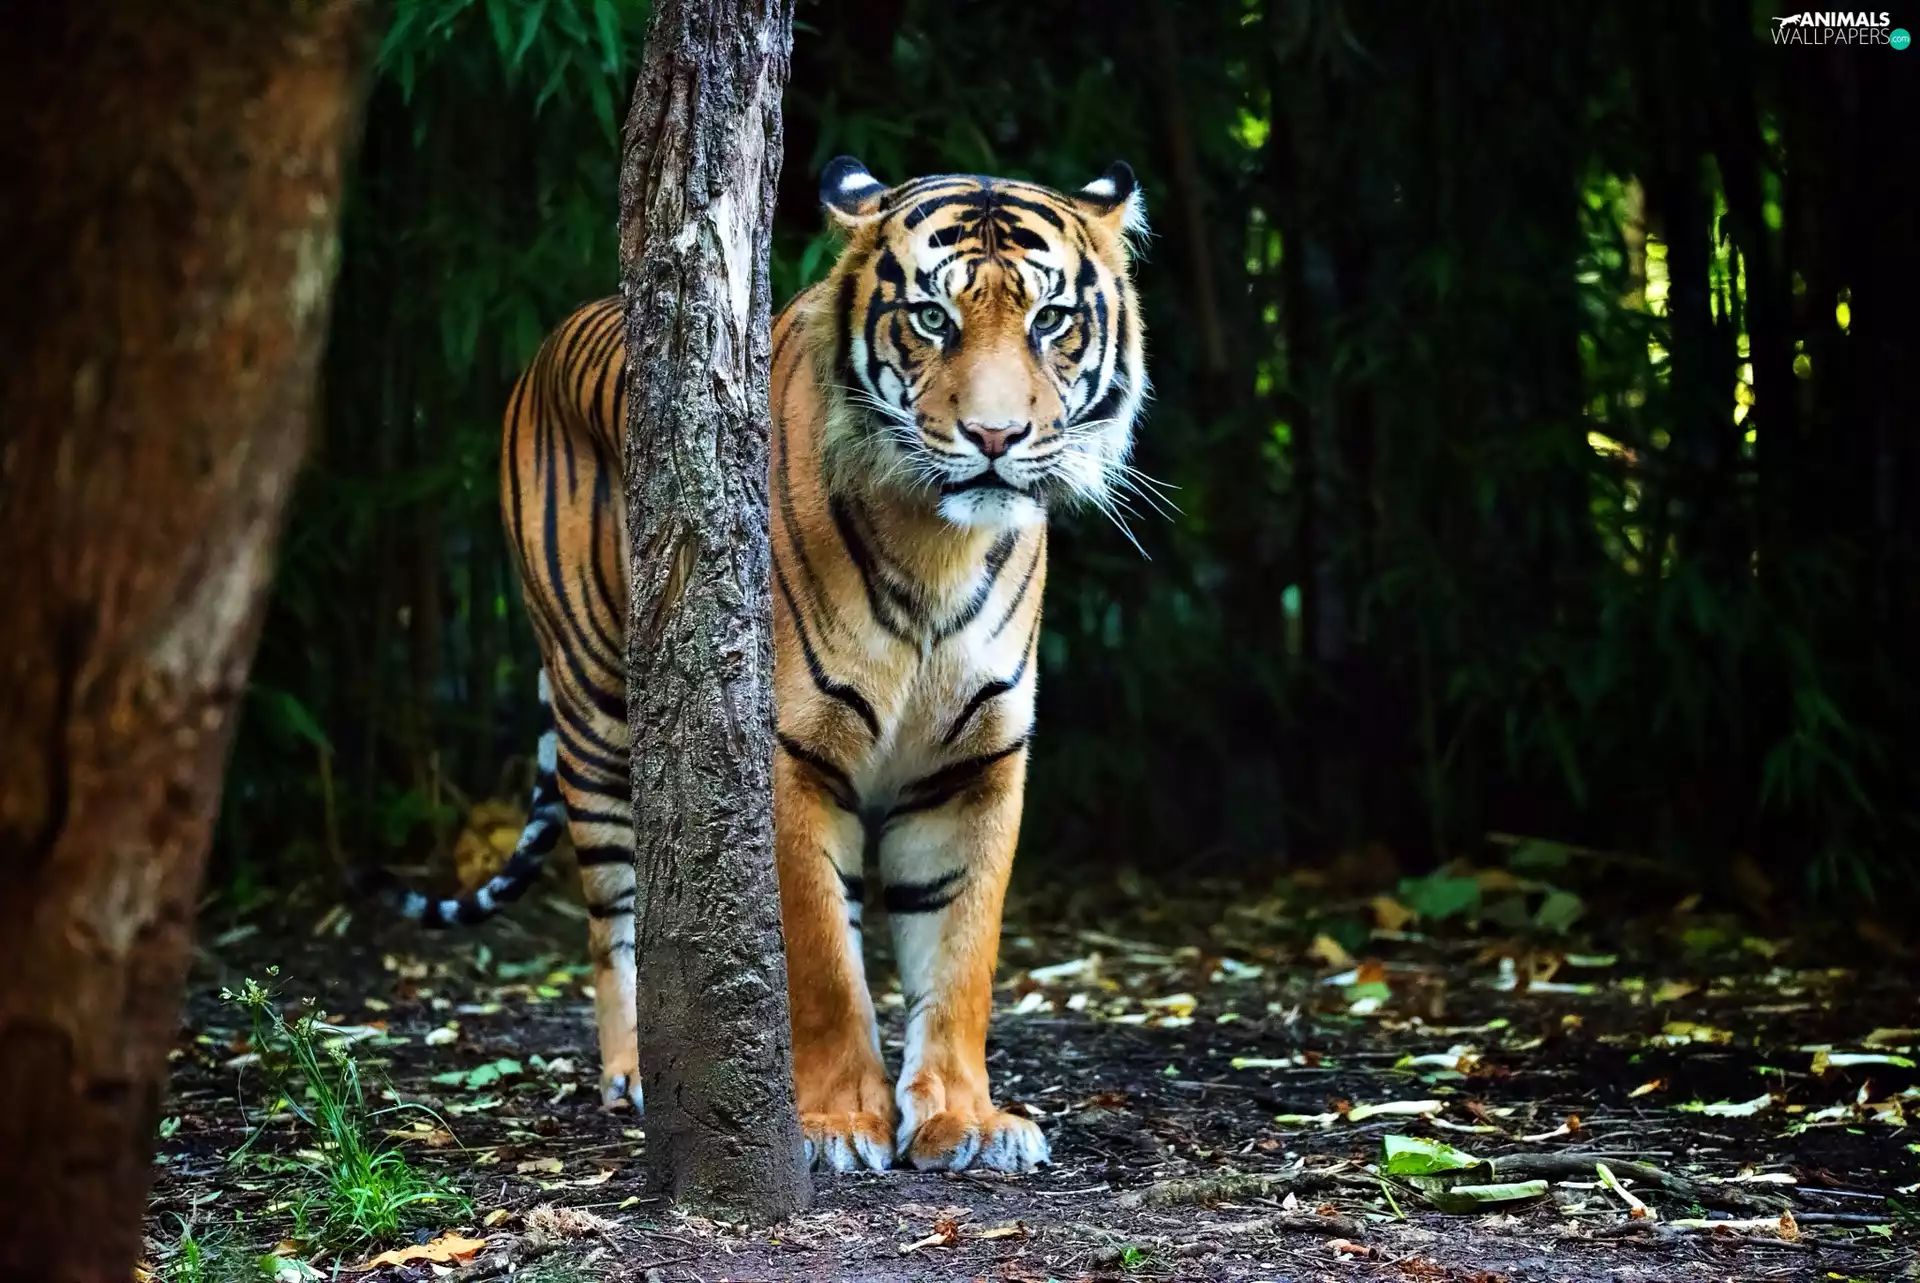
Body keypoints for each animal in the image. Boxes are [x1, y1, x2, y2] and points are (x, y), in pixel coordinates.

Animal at [380, 157, 1147, 1173]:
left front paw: (965, 1120)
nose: (994, 439)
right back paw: (635, 1072)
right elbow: (823, 956)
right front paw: (836, 1124)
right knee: (614, 917)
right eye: (931, 317)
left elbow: (961, 952)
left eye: (1051, 320)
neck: (938, 548)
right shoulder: (788, 750)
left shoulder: (974, 760)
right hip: (595, 714)